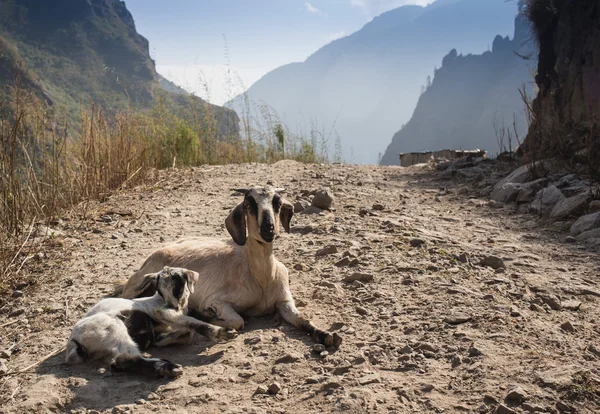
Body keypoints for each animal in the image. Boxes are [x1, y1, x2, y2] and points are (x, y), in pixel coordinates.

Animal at [67, 266, 237, 376]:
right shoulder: (163, 313)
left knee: (118, 364)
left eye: (178, 287)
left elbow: (187, 328)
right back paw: (169, 367)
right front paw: (223, 332)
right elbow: (191, 323)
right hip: (113, 329)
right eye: (159, 290)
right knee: (127, 357)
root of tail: (74, 342)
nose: (171, 306)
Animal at [120, 186, 342, 348]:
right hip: (136, 286)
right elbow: (237, 321)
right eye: (249, 203)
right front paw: (205, 315)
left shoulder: (284, 302)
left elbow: (303, 320)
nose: (268, 229)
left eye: (277, 203)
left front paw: (328, 335)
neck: (261, 278)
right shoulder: (218, 300)